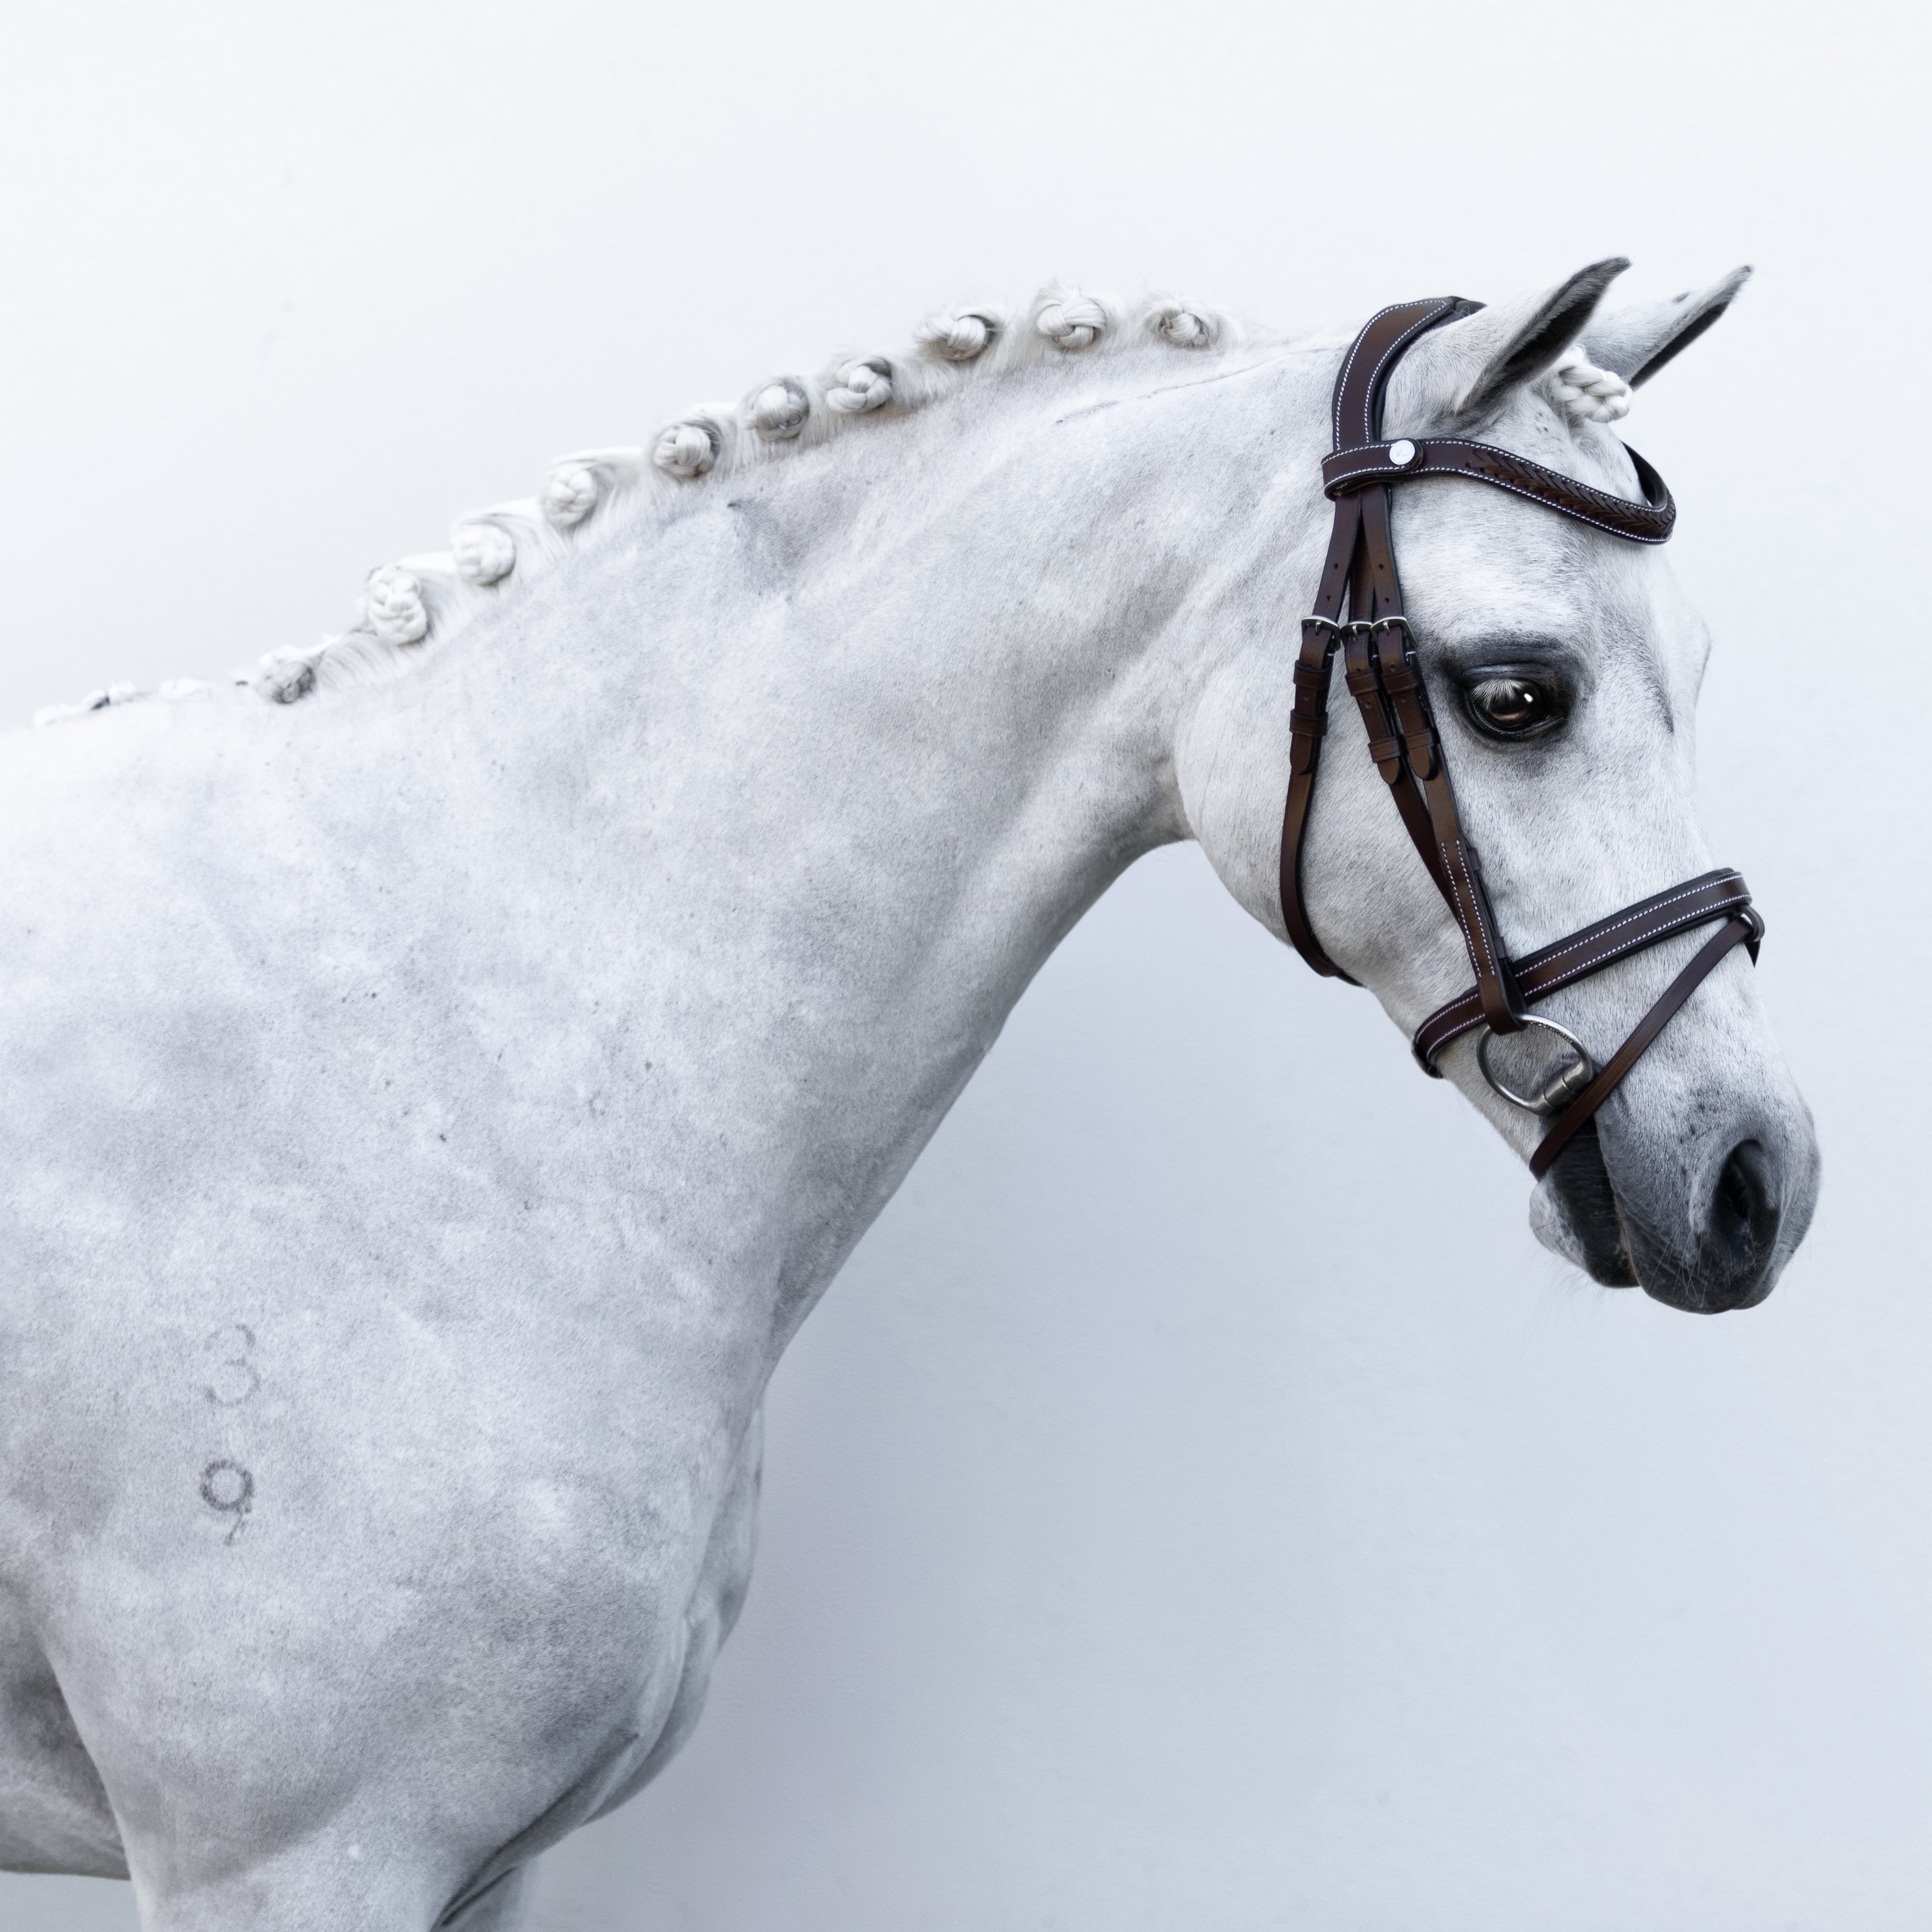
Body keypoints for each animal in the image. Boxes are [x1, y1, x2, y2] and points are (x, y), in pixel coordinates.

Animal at [0, 259, 1819, 1928]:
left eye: (1696, 663)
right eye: (1516, 693)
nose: (1757, 1179)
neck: (458, 1037)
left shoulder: (483, 1866)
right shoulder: (300, 1861)